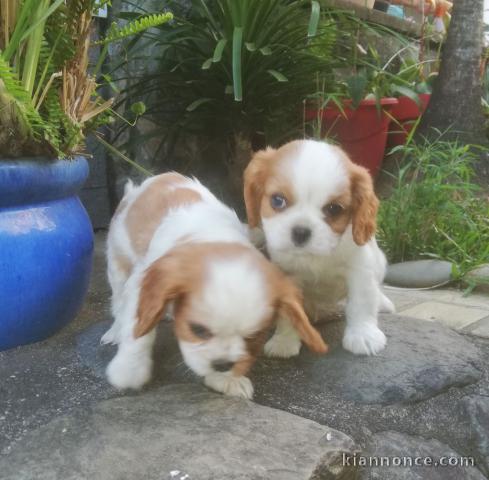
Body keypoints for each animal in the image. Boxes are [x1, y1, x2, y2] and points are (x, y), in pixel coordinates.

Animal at [101, 172, 326, 398]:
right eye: (198, 330)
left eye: (253, 337)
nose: (222, 364)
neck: (213, 238)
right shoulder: (142, 283)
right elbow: (137, 330)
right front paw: (129, 369)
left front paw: (225, 380)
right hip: (118, 262)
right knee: (118, 302)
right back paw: (114, 332)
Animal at [242, 141, 394, 358]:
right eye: (277, 200)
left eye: (334, 209)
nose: (300, 232)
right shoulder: (287, 275)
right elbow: (289, 312)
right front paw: (284, 341)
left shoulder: (361, 269)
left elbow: (361, 302)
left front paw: (363, 335)